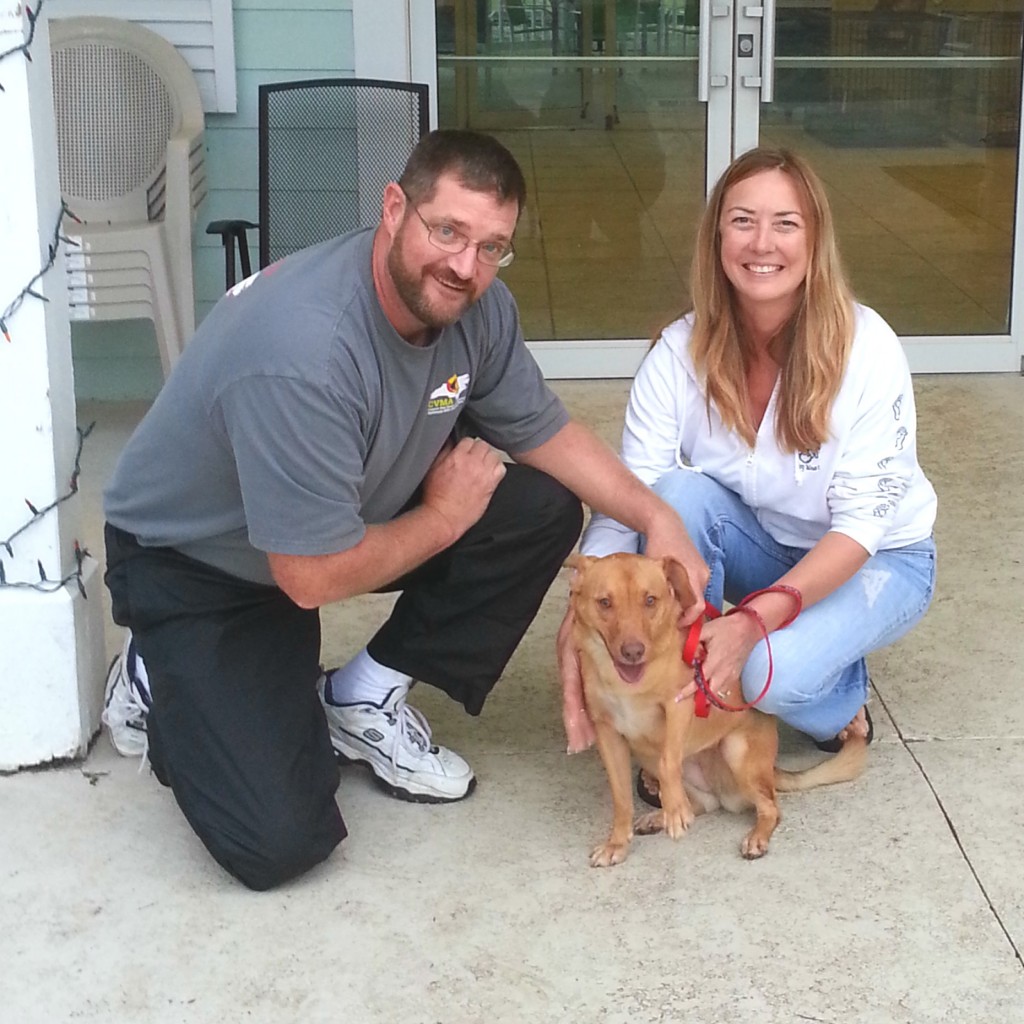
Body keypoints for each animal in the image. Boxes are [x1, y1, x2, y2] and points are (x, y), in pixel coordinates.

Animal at [565, 557, 868, 868]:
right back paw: (661, 816)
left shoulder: (678, 705)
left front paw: (673, 811)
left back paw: (753, 836)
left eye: (650, 600)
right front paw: (617, 843)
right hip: (655, 761)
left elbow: (668, 760)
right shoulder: (607, 734)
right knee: (701, 804)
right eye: (604, 602)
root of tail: (770, 769)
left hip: (736, 751)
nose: (633, 652)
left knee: (771, 807)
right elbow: (621, 797)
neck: (625, 683)